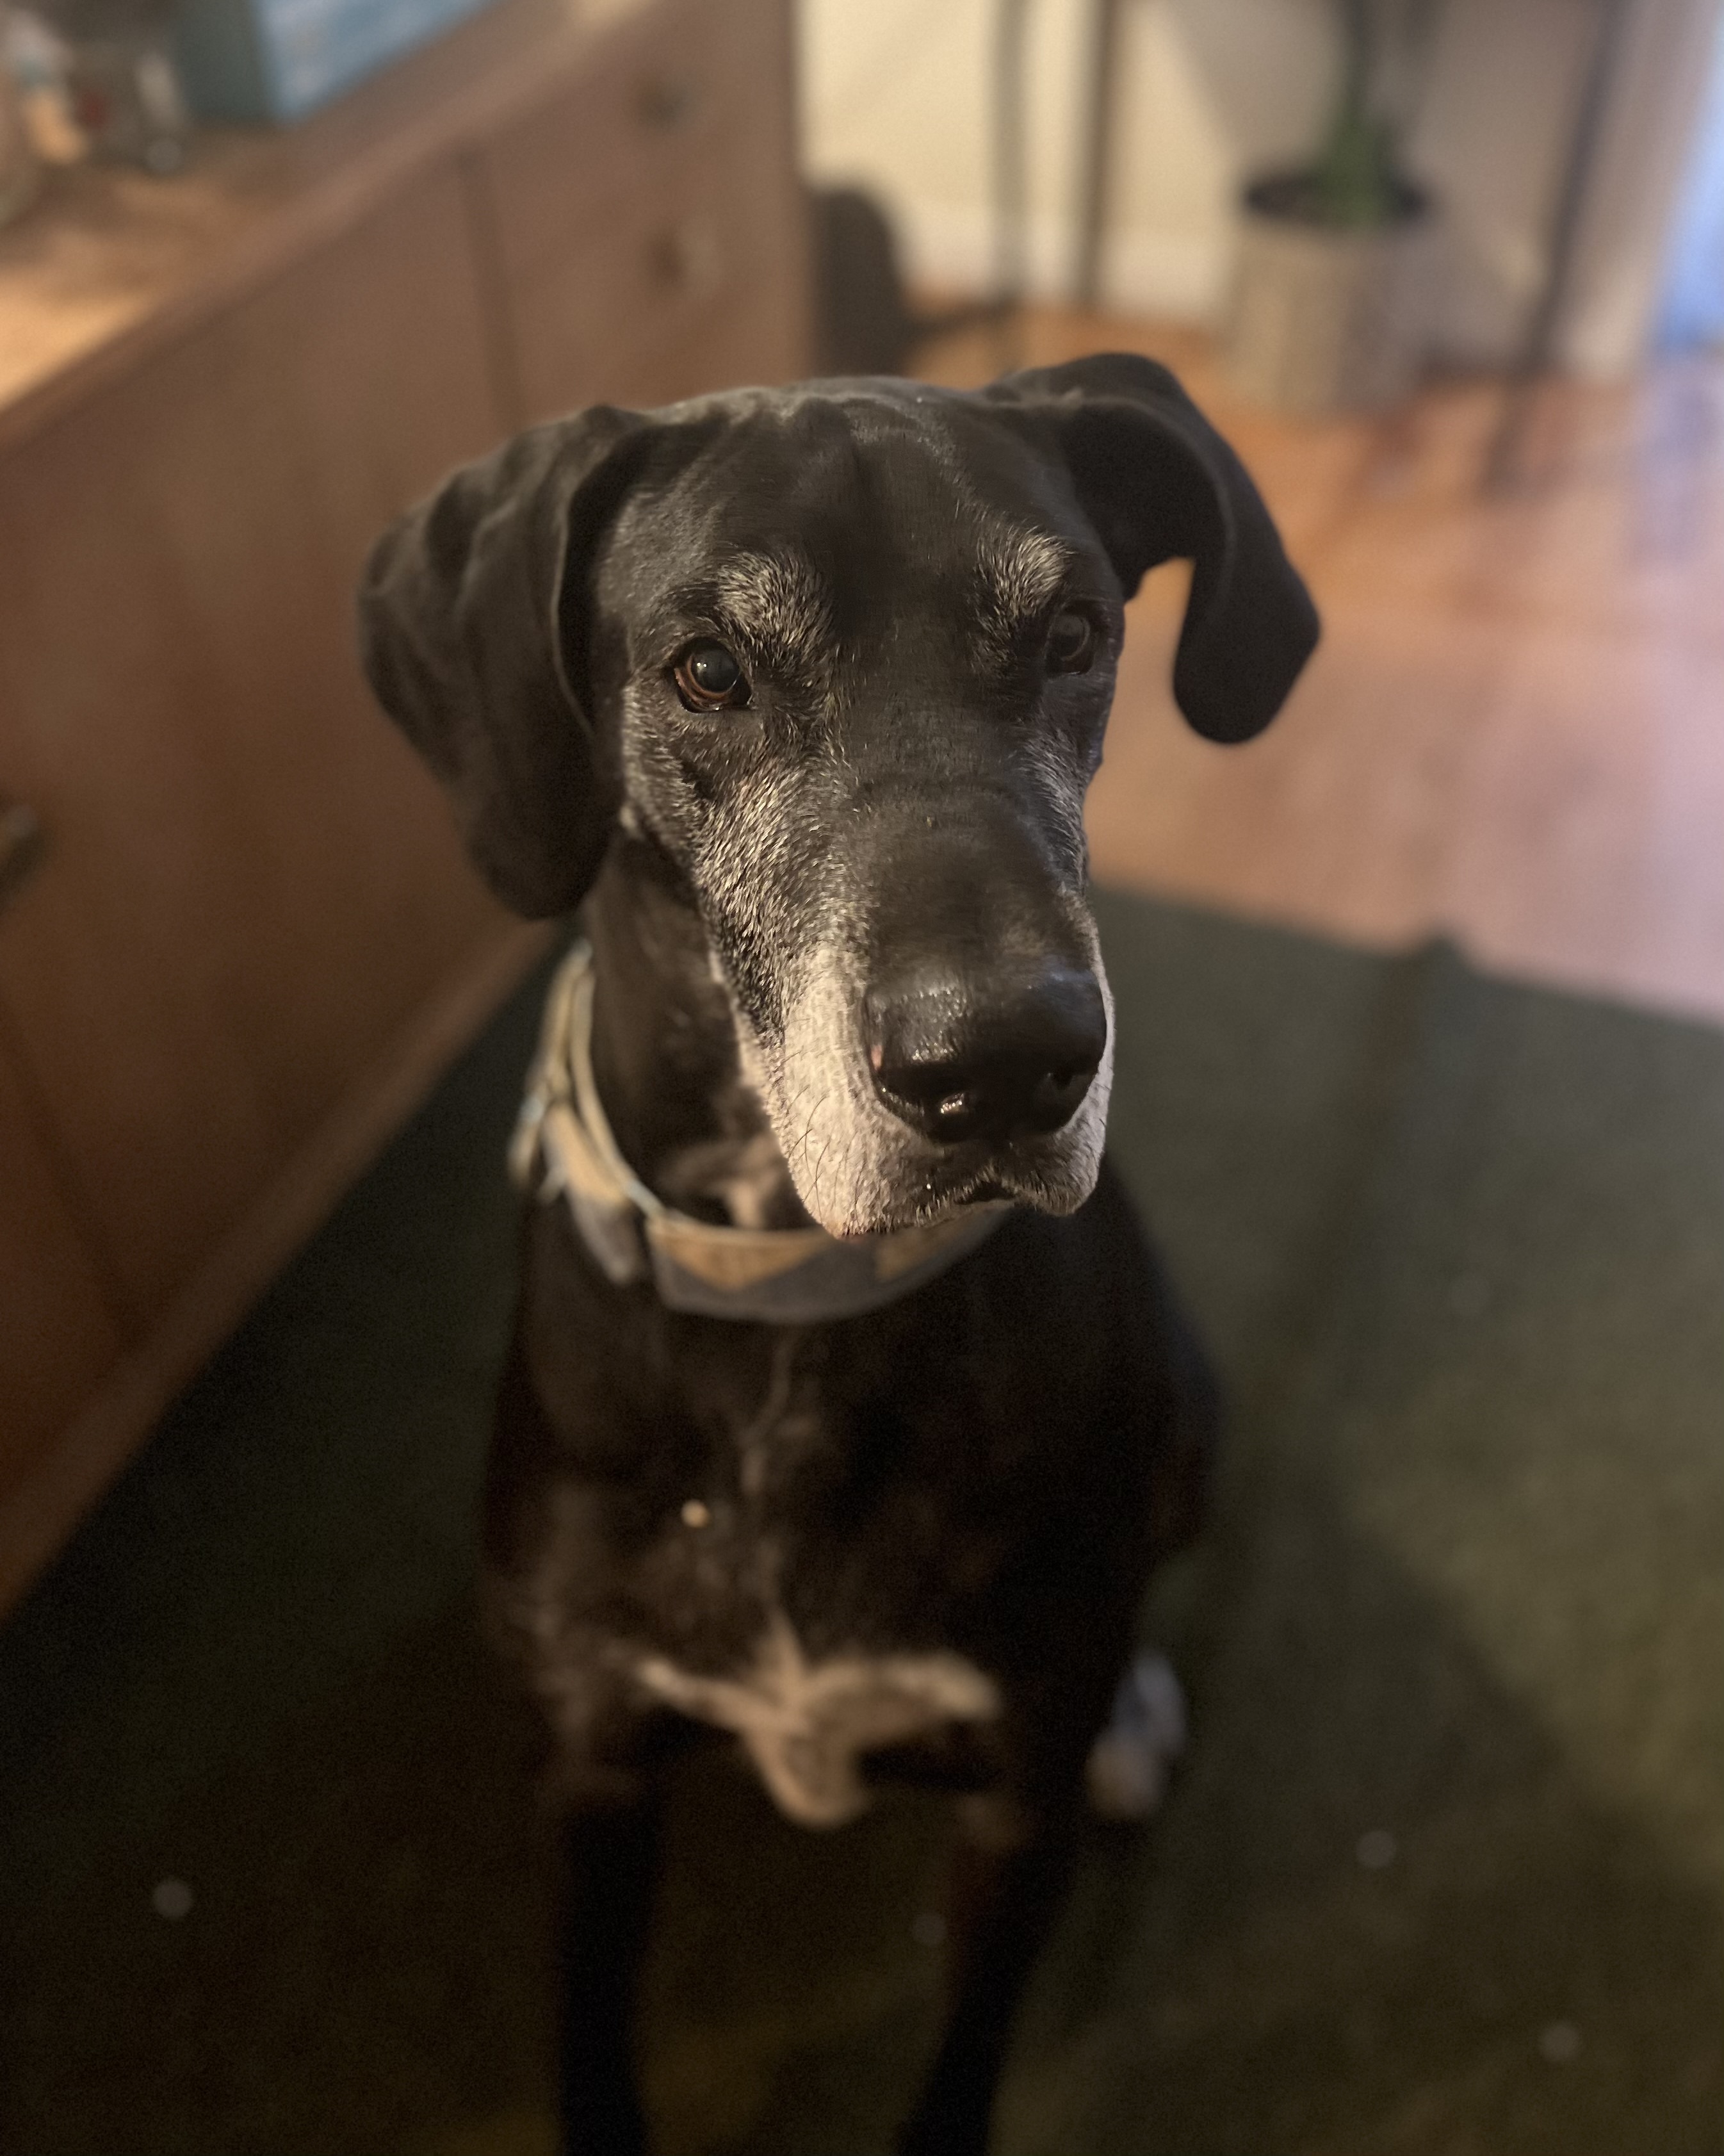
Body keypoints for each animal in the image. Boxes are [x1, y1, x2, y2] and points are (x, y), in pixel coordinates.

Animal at [357, 357, 1310, 2156]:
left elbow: (958, 2067)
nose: (1000, 1066)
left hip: (1195, 1414)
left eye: (1071, 634)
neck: (784, 1294)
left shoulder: (1012, 1806)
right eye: (707, 672)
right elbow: (588, 2038)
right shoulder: (588, 1774)